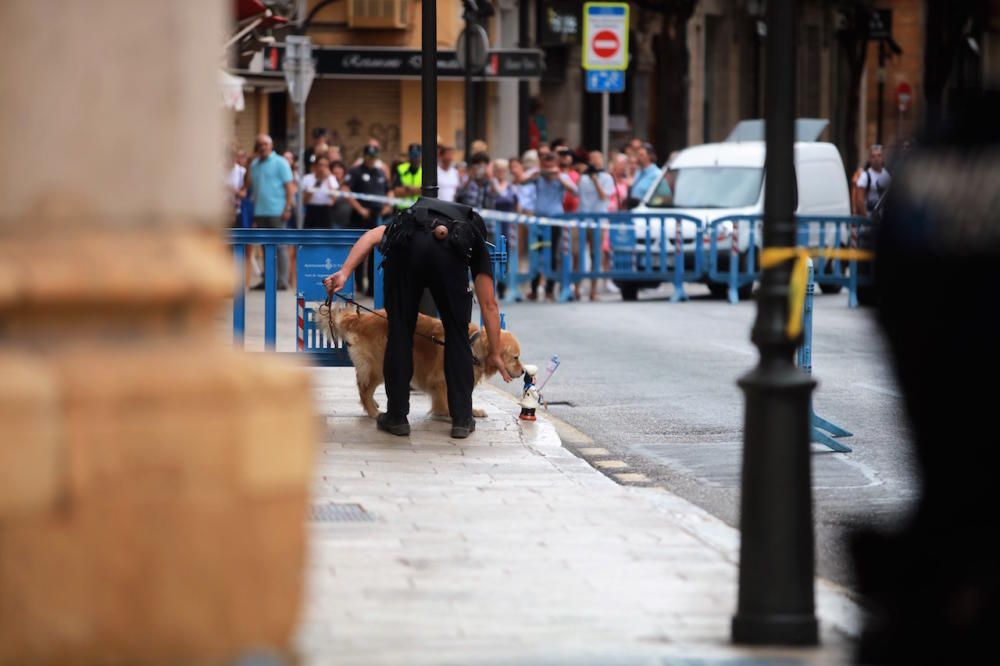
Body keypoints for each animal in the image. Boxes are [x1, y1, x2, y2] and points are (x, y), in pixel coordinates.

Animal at [318, 302, 524, 418]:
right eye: (515, 357)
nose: (523, 372)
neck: (474, 346)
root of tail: (361, 318)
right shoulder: (441, 380)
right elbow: (449, 400)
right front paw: (450, 413)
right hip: (378, 364)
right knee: (363, 388)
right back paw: (373, 412)